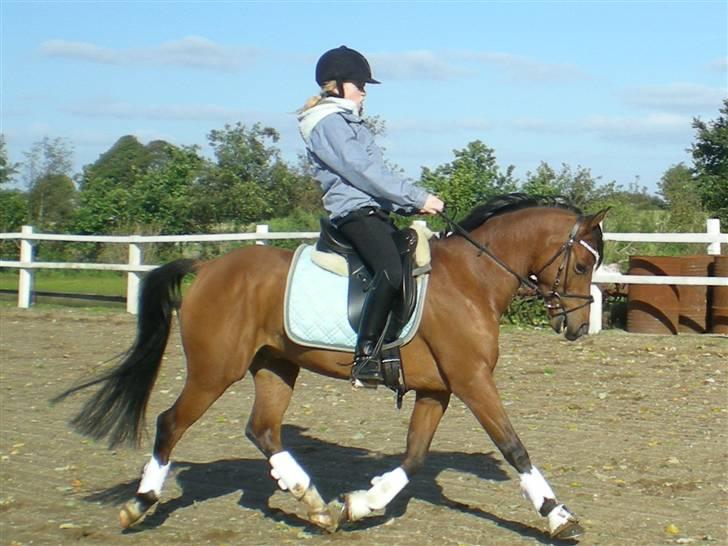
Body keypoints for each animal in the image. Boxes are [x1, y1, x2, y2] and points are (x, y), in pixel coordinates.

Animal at [55, 193, 608, 540]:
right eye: (582, 265)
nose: (579, 328)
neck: (472, 279)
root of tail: (208, 266)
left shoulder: (439, 390)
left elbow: (414, 458)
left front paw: (361, 503)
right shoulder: (472, 382)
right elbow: (514, 446)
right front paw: (558, 516)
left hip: (276, 367)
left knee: (263, 429)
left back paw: (316, 506)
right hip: (214, 371)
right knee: (171, 423)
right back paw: (139, 504)